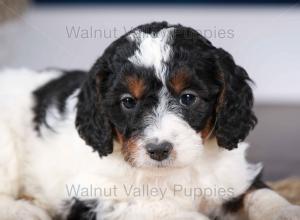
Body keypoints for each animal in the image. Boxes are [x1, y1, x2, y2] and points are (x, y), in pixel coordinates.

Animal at [0, 21, 300, 220]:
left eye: (188, 97)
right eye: (128, 102)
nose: (158, 150)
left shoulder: (234, 177)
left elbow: (265, 196)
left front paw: (287, 211)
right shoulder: (96, 196)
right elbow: (163, 210)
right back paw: (24, 210)